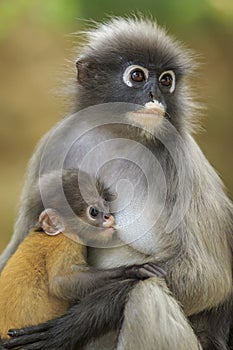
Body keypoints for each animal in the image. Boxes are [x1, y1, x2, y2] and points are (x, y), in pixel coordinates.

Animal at [0, 170, 164, 340]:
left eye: (105, 203)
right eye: (94, 211)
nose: (108, 216)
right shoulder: (67, 242)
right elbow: (61, 282)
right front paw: (134, 270)